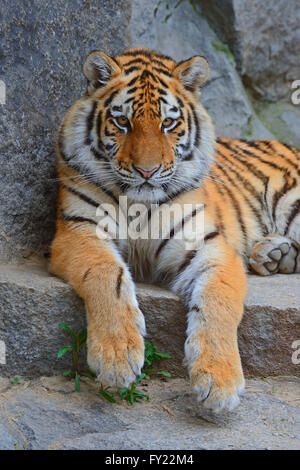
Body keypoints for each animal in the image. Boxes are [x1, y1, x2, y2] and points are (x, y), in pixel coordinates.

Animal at [49, 47, 300, 412]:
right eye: (123, 122)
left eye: (168, 123)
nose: (147, 171)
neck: (138, 203)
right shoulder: (80, 231)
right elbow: (107, 275)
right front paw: (117, 358)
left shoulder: (207, 246)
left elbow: (219, 300)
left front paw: (219, 380)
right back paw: (273, 254)